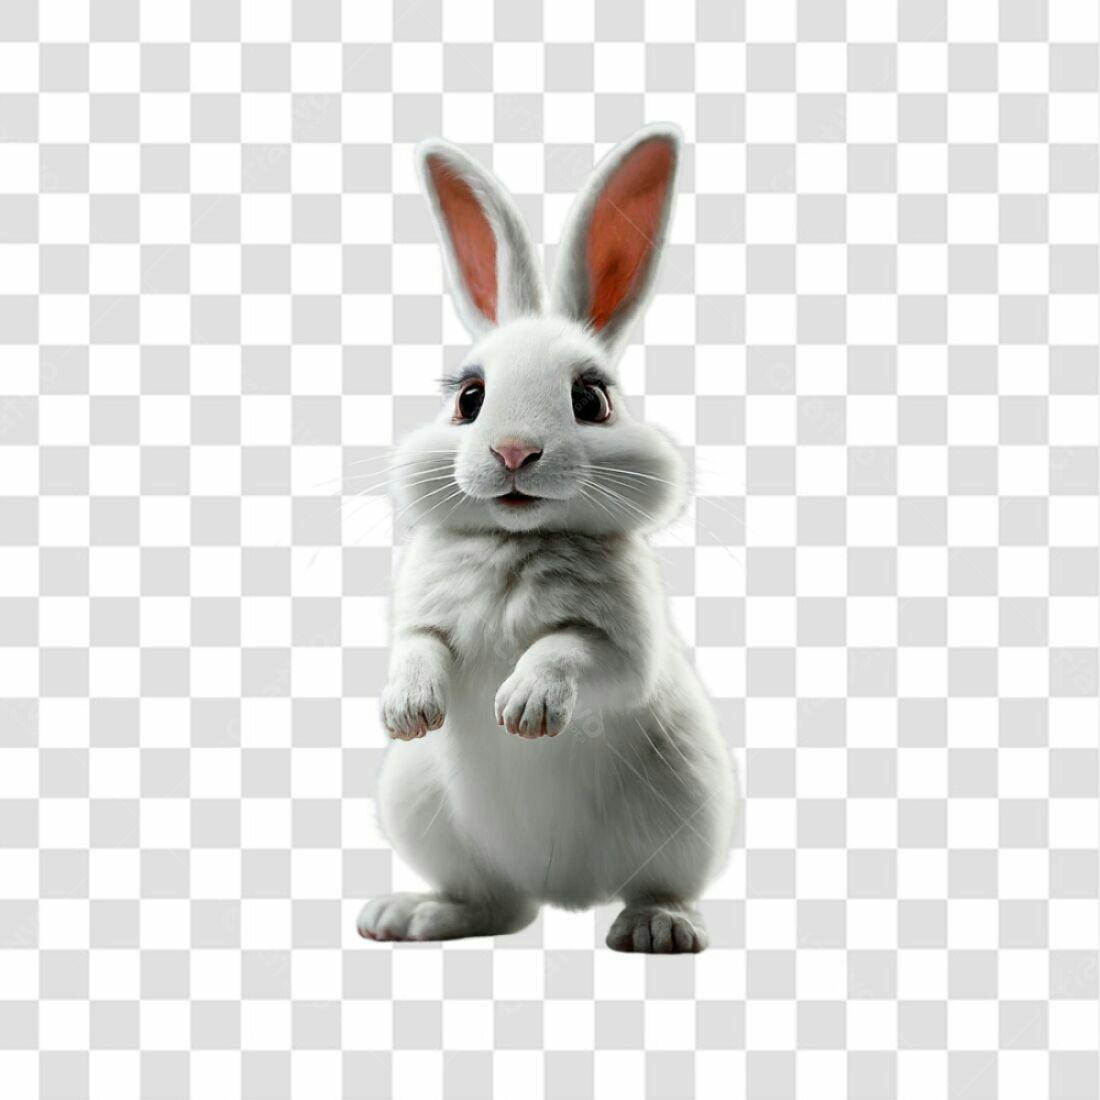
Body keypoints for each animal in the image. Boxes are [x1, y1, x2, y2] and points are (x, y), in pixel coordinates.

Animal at [356, 124, 739, 953]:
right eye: (469, 399)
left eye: (591, 400)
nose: (513, 453)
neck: (515, 541)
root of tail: (562, 890)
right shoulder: (423, 616)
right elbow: (417, 648)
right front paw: (410, 712)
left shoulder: (622, 643)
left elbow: (570, 651)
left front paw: (524, 710)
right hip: (425, 810)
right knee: (498, 906)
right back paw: (410, 915)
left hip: (686, 808)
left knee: (656, 887)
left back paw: (656, 927)